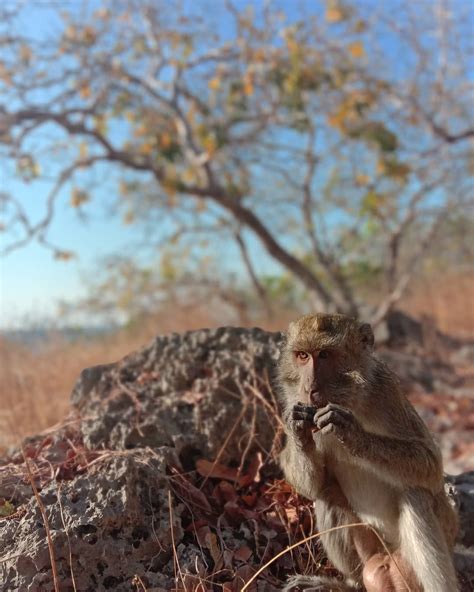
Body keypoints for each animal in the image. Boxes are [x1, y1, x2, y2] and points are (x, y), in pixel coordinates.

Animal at [278, 312, 460, 588]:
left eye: (325, 355)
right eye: (302, 356)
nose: (309, 388)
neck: (349, 397)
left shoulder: (386, 391)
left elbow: (430, 464)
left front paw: (350, 433)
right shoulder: (293, 399)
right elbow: (312, 487)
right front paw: (297, 428)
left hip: (423, 549)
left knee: (415, 496)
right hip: (372, 553)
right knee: (327, 494)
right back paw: (348, 586)